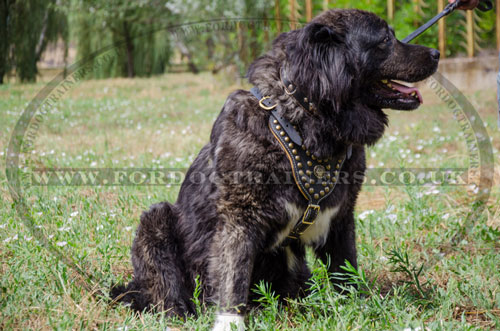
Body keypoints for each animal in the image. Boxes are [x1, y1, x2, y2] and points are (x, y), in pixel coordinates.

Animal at [111, 8, 440, 331]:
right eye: (385, 39)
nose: (436, 53)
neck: (304, 122)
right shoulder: (237, 221)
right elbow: (233, 275)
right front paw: (230, 322)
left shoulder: (340, 218)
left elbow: (345, 270)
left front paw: (356, 308)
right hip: (156, 220)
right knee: (167, 292)